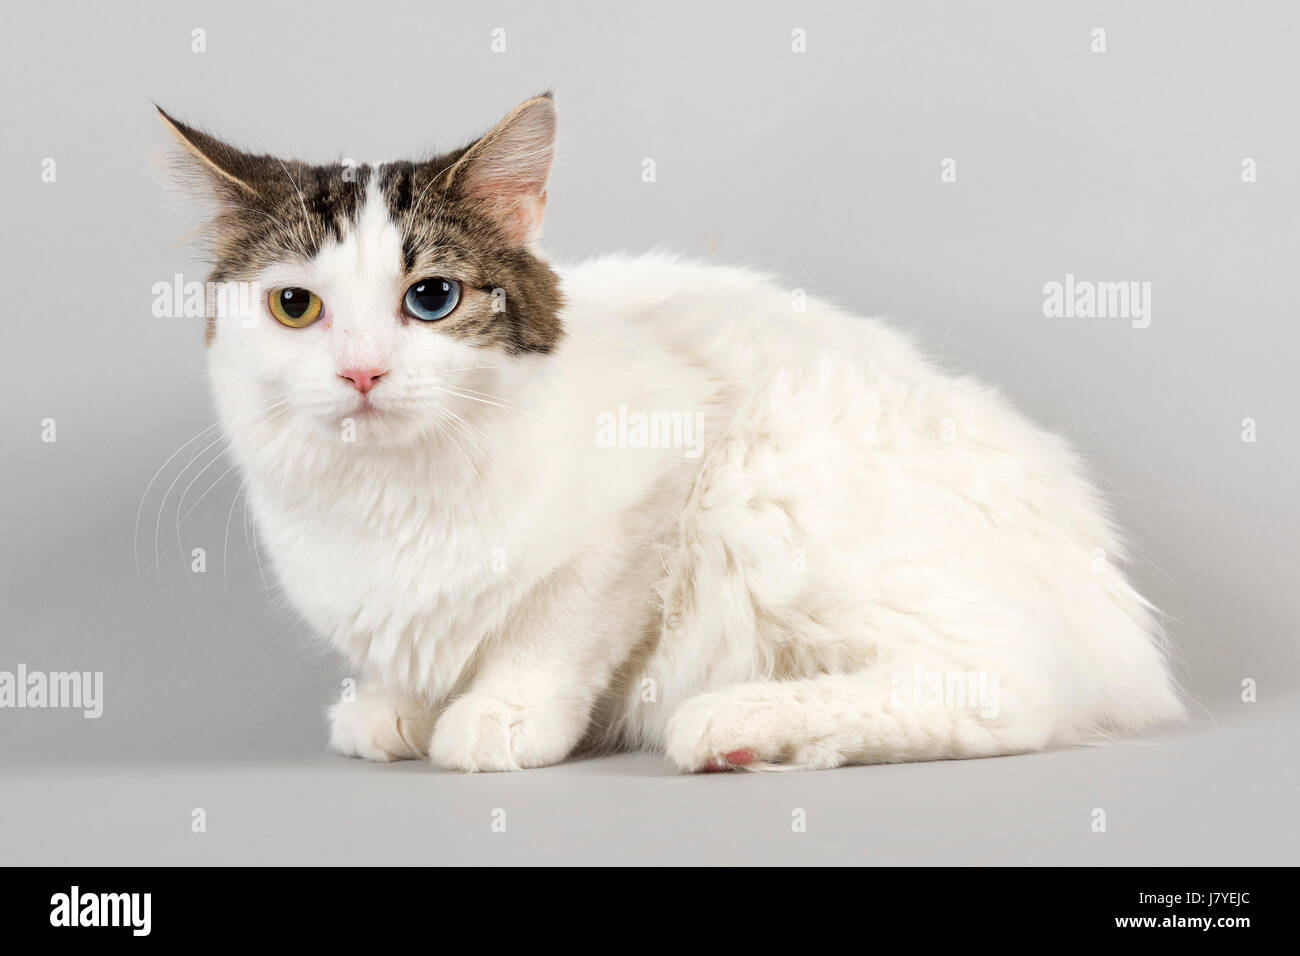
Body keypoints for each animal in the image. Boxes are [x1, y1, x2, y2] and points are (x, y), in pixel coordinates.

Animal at [157, 93, 1185, 775]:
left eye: (432, 298)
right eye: (296, 307)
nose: (363, 373)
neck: (389, 493)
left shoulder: (655, 488)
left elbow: (553, 635)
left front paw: (498, 716)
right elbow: (399, 657)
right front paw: (393, 707)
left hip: (772, 488)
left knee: (1003, 691)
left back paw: (738, 726)